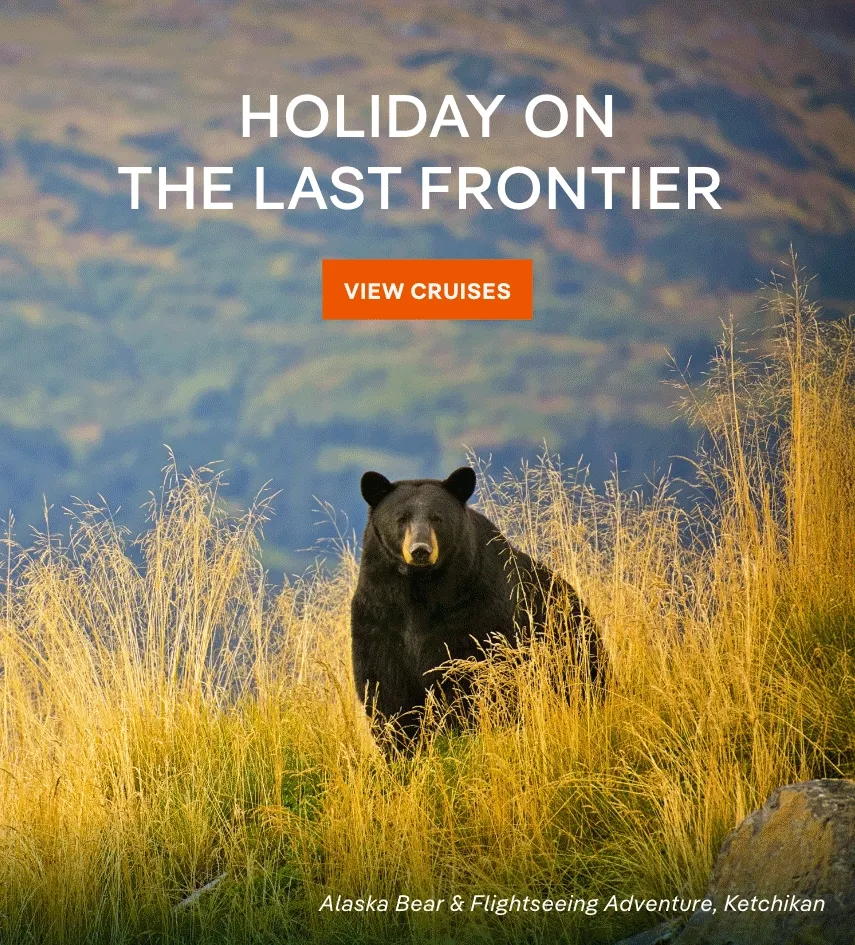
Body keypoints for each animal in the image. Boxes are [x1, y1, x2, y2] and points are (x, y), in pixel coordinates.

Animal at [350, 465, 605, 750]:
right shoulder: (378, 613)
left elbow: (473, 675)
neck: (419, 589)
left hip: (570, 647)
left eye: (437, 518)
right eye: (401, 518)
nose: (420, 550)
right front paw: (400, 747)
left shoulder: (475, 611)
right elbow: (384, 687)